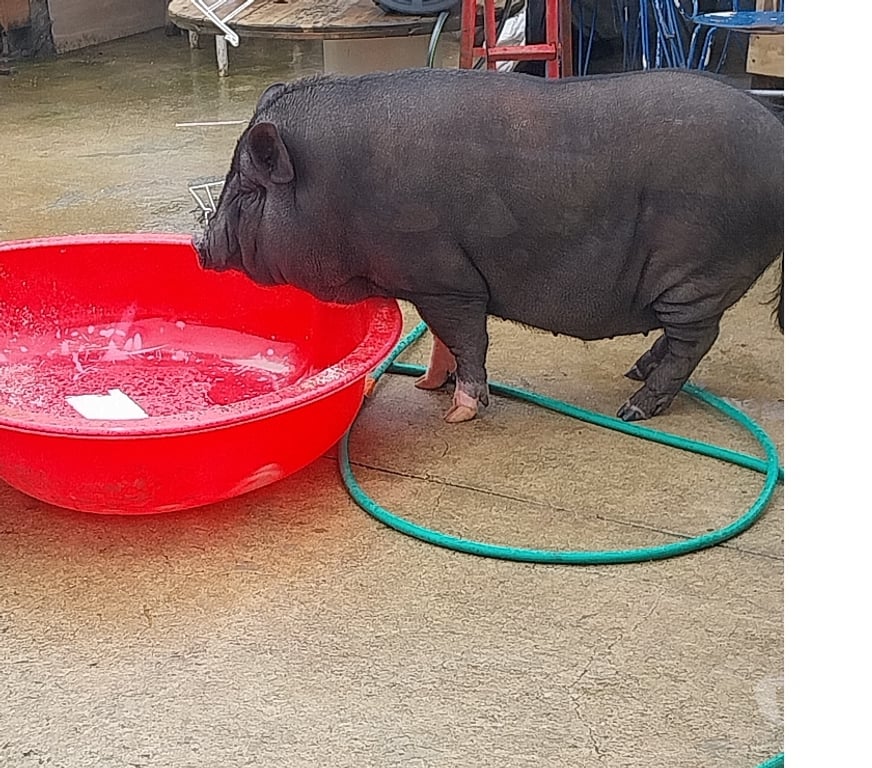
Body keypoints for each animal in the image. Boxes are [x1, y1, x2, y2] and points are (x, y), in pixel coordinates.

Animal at [195, 67, 783, 423]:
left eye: (246, 187)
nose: (202, 244)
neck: (336, 189)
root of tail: (778, 139)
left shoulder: (443, 277)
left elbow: (466, 336)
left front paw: (458, 412)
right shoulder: (428, 282)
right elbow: (442, 340)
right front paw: (426, 388)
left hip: (699, 273)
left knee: (696, 339)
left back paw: (632, 409)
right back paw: (632, 374)